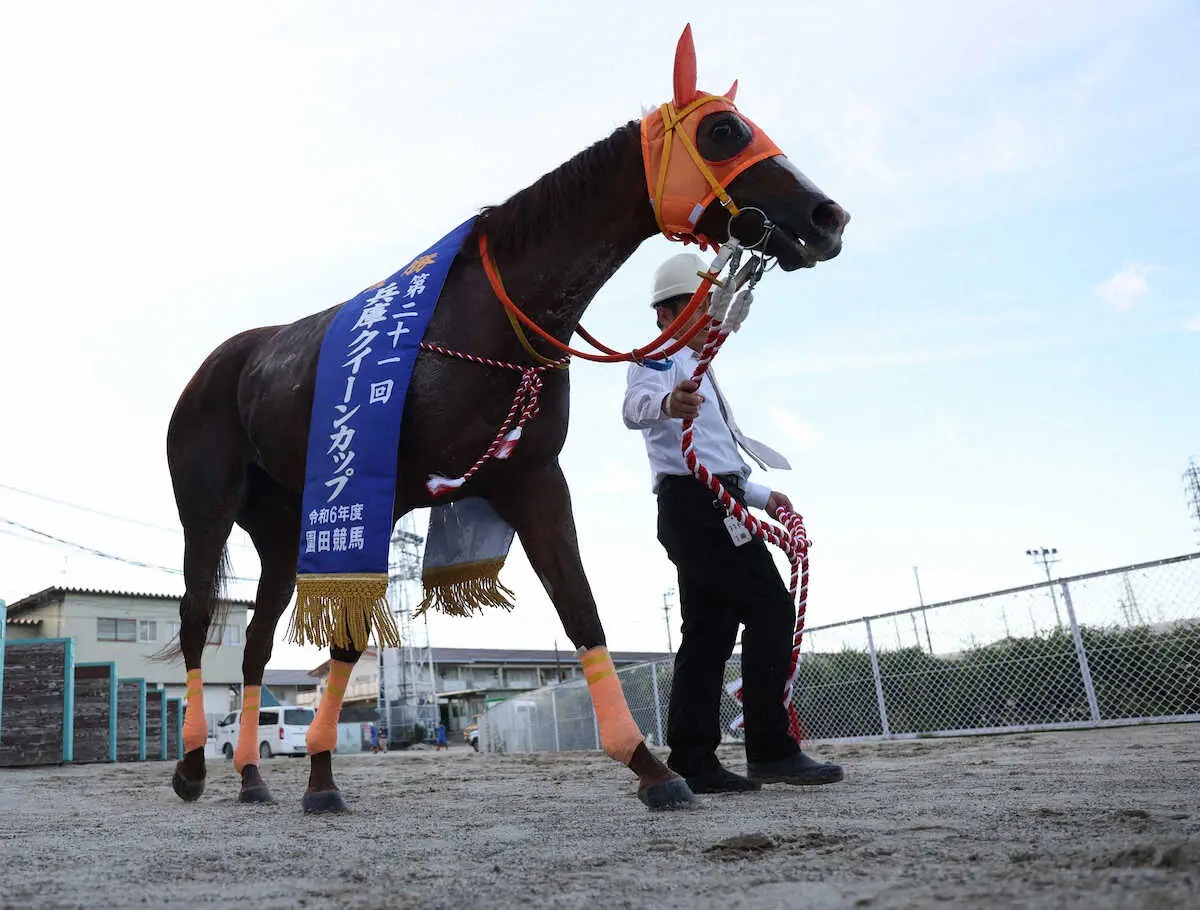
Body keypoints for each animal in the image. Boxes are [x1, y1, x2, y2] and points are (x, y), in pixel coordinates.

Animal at [166, 26, 844, 811]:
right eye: (725, 131)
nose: (828, 217)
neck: (488, 318)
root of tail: (215, 367)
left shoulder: (530, 477)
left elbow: (580, 607)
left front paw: (649, 764)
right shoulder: (380, 495)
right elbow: (350, 637)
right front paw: (322, 775)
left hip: (279, 528)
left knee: (253, 646)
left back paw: (249, 774)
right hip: (207, 507)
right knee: (195, 618)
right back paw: (191, 766)